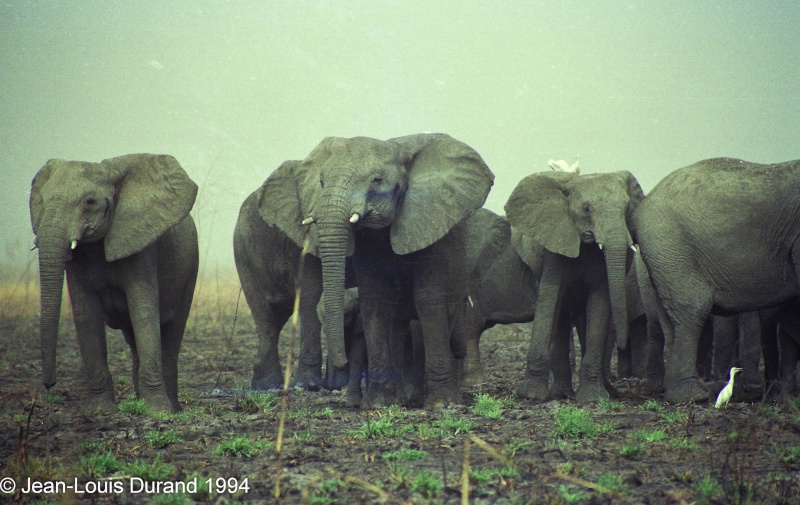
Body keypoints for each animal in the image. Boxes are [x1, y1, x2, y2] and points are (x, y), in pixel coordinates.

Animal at [31, 154, 200, 414]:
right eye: (41, 200)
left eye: (89, 201)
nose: (49, 386)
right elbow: (86, 315)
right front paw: (99, 410)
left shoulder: (141, 245)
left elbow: (143, 313)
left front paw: (158, 412)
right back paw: (141, 401)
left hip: (190, 267)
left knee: (173, 331)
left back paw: (173, 408)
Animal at [231, 171, 356, 392]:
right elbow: (311, 293)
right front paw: (309, 385)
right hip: (243, 252)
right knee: (266, 315)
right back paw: (267, 386)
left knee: (278, 314)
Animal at [256, 132, 494, 408]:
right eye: (322, 181)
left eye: (377, 180)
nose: (341, 362)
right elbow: (375, 299)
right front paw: (379, 404)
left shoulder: (431, 226)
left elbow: (428, 299)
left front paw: (443, 405)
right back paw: (404, 398)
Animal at [506, 169, 644, 402]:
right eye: (586, 209)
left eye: (626, 208)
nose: (623, 343)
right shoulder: (555, 244)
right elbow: (550, 297)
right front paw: (530, 396)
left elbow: (599, 304)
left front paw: (593, 399)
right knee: (560, 315)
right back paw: (560, 394)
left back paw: (605, 392)